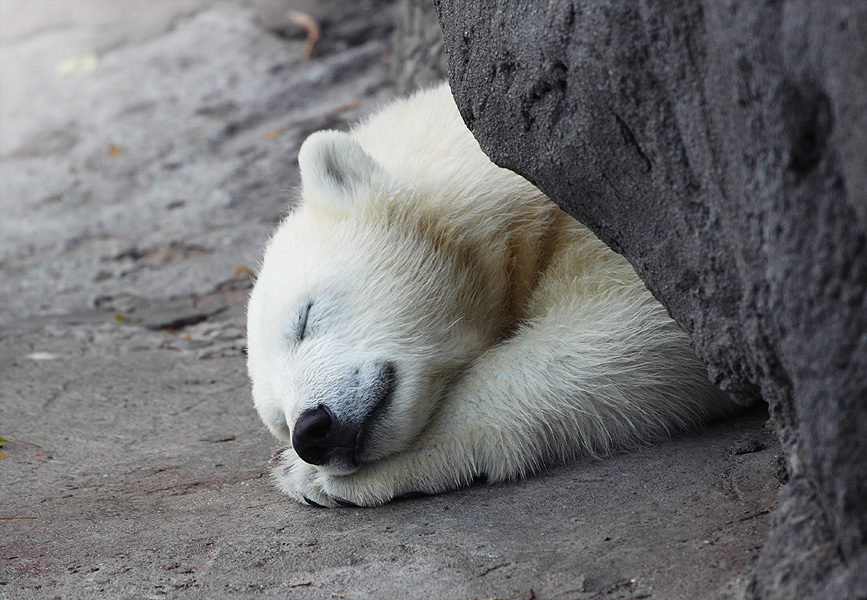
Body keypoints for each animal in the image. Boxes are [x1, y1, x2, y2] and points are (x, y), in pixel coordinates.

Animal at [246, 83, 740, 506]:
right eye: (277, 418)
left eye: (305, 318)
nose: (310, 433)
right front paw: (295, 468)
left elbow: (627, 329)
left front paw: (305, 475)